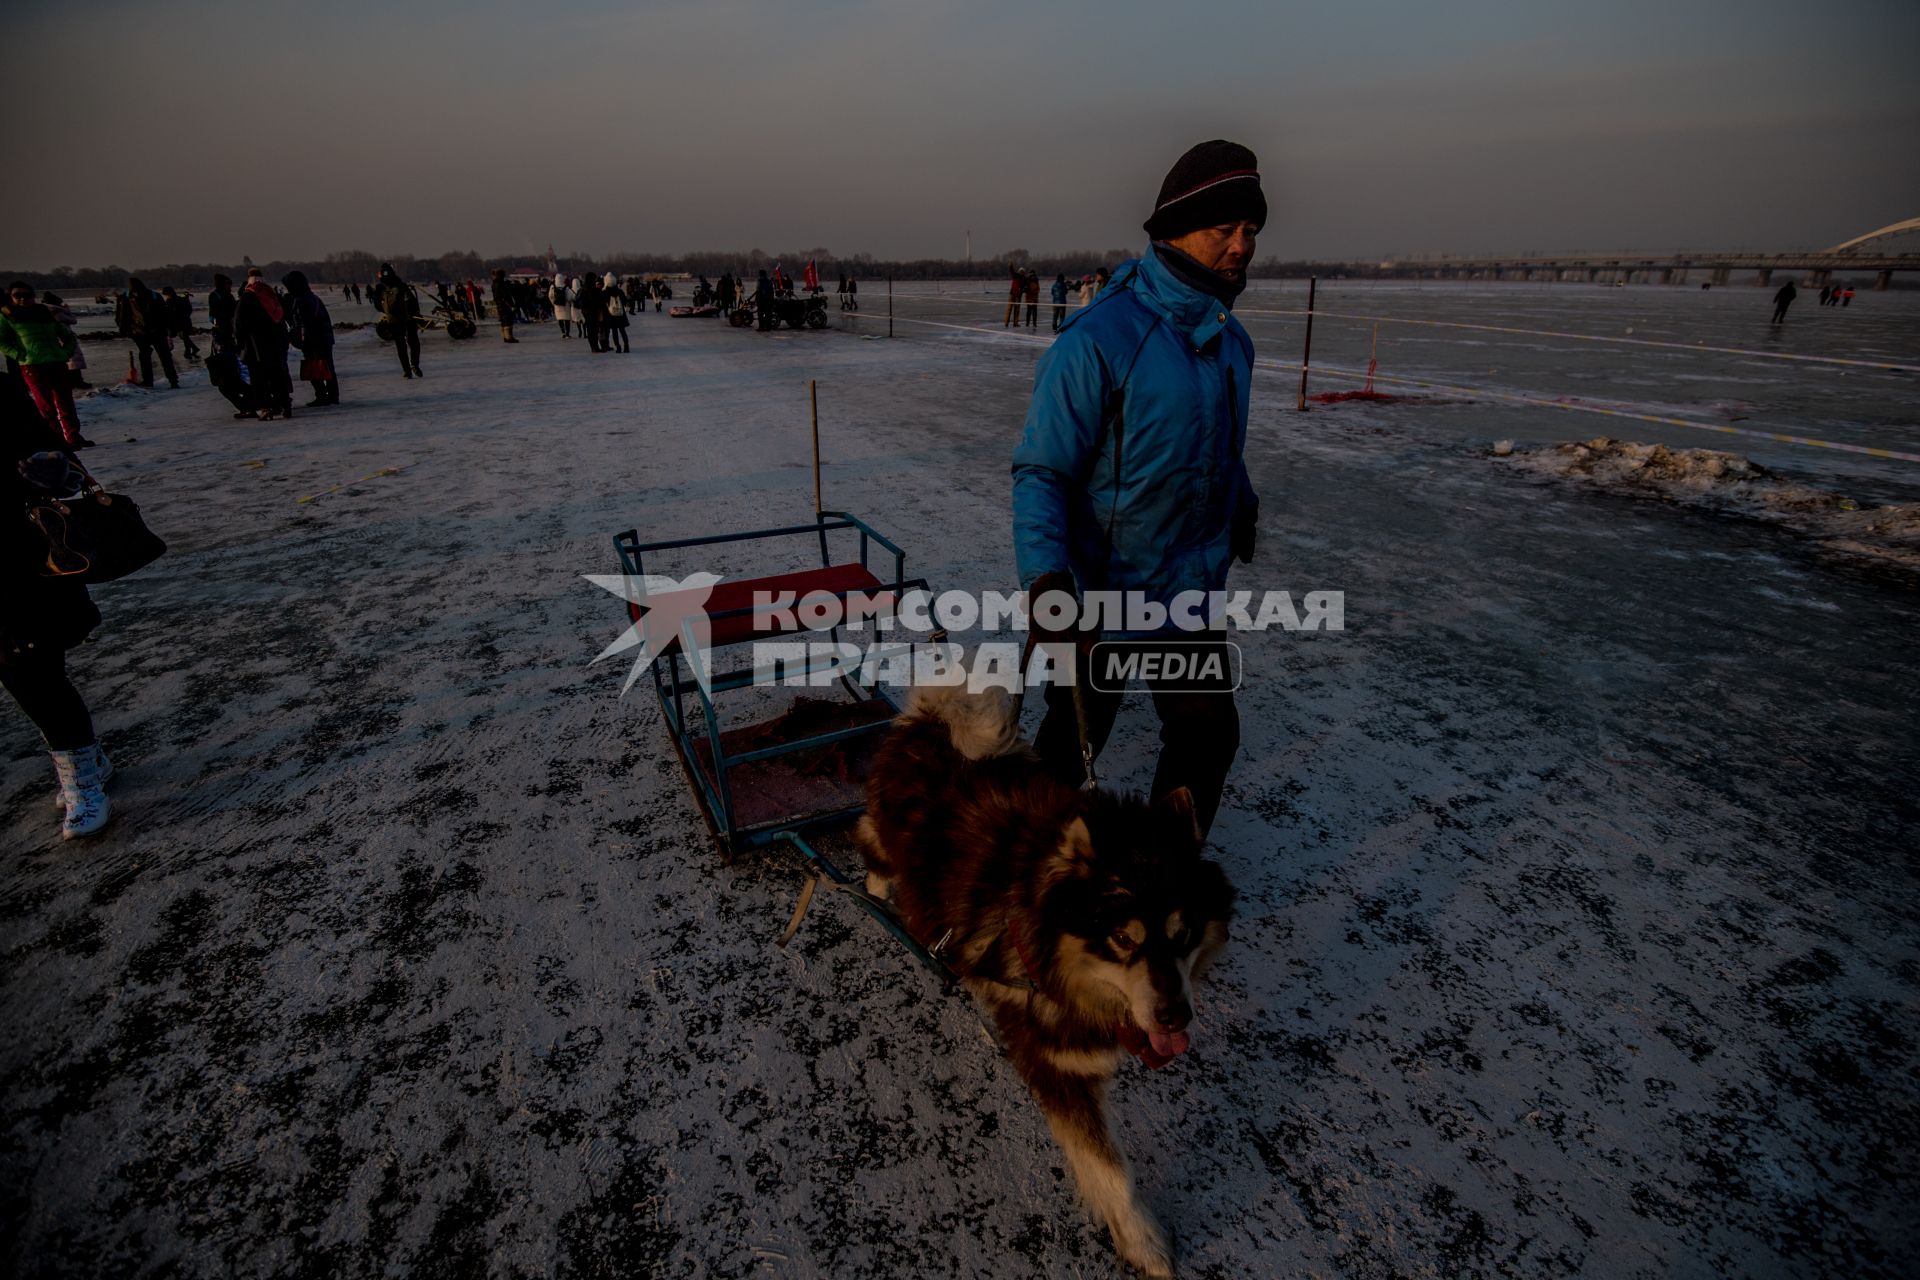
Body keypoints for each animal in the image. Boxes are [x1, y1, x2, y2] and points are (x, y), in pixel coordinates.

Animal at [856, 687, 1228, 1274]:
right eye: (1121, 939)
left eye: (1184, 932)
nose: (1175, 1016)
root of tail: (933, 719)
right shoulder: (1055, 1063)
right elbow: (1110, 1170)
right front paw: (1143, 1241)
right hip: (888, 833)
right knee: (867, 839)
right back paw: (878, 891)